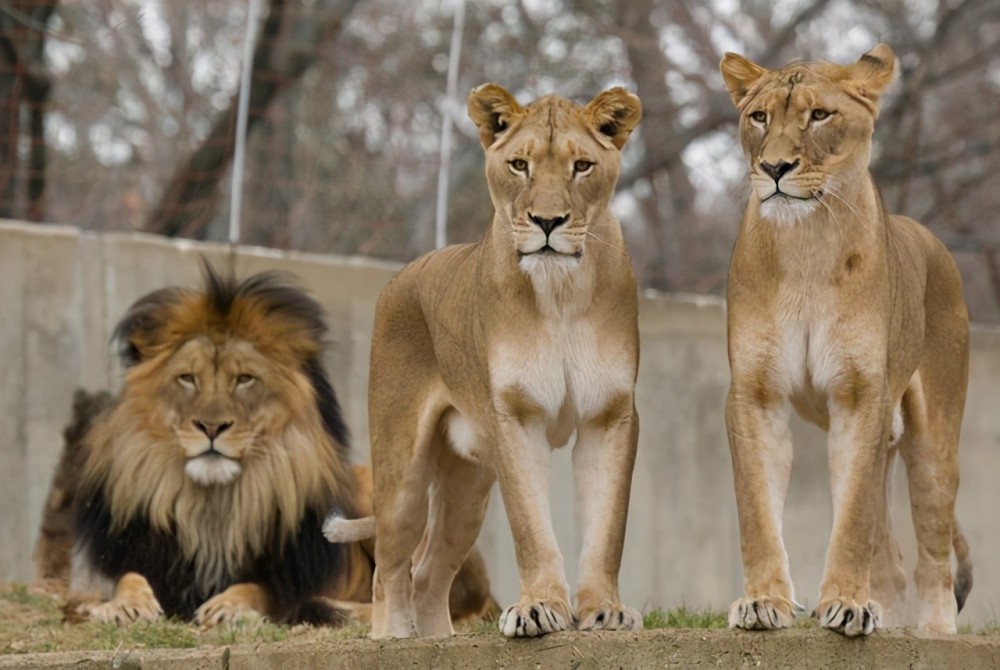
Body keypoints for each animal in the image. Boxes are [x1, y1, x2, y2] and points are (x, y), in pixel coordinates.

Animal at [62, 266, 492, 632]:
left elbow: (260, 589)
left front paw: (230, 607)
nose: (212, 427)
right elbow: (124, 578)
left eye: (244, 379)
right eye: (187, 379)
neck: (211, 506)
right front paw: (126, 605)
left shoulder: (289, 577)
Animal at [366, 84, 640, 640]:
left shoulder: (611, 414)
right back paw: (394, 637)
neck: (560, 292)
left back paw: (437, 639)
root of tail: (400, 276)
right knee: (389, 567)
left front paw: (605, 610)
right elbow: (532, 528)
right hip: (401, 470)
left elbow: (607, 526)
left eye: (582, 166)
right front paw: (539, 608)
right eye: (519, 165)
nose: (548, 222)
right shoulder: (514, 415)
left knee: (429, 572)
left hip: (466, 489)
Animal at [720, 44, 968, 636]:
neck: (807, 241)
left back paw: (934, 632)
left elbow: (851, 518)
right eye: (759, 117)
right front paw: (764, 602)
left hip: (934, 441)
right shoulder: (754, 394)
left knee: (932, 551)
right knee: (893, 563)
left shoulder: (861, 398)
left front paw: (848, 605)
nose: (774, 168)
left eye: (819, 115)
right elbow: (757, 510)